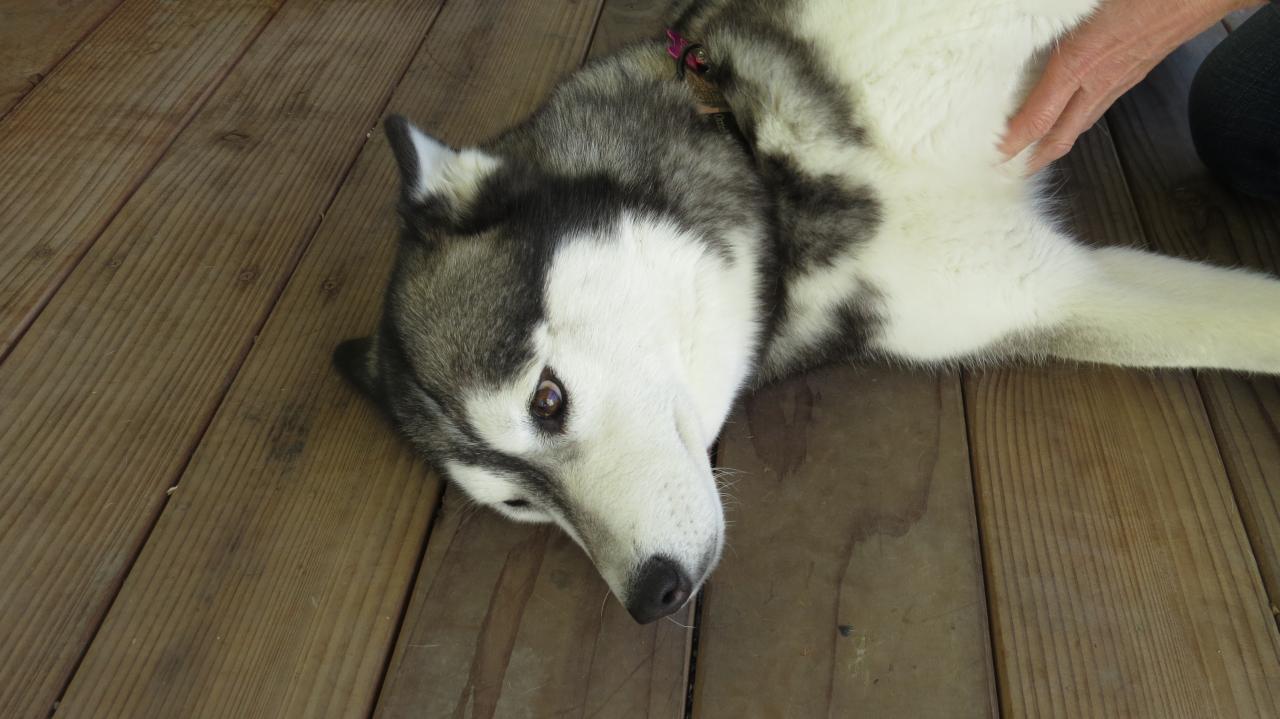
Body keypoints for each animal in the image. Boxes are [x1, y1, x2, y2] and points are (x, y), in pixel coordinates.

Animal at [337, 0, 1280, 621]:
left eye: (547, 399)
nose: (652, 594)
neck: (764, 172)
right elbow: (1245, 323)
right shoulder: (1037, 288)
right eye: (519, 505)